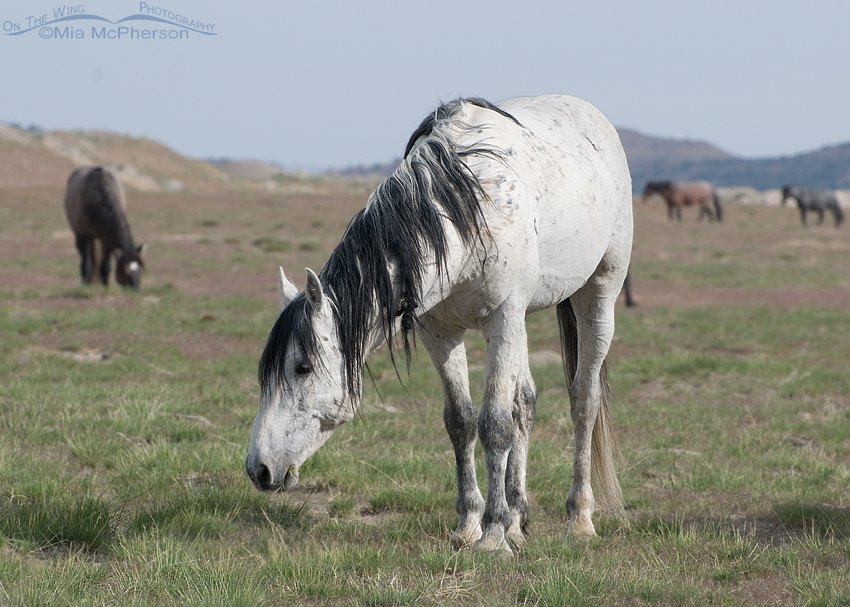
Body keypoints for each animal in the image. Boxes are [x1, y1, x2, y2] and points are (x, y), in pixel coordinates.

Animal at [245, 95, 633, 554]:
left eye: (302, 367)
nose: (258, 468)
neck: (463, 213)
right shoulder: (441, 332)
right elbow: (461, 422)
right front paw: (469, 525)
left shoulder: (502, 319)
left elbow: (495, 424)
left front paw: (493, 533)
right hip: (523, 321)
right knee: (525, 403)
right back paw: (520, 518)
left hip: (597, 297)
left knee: (583, 401)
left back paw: (579, 518)